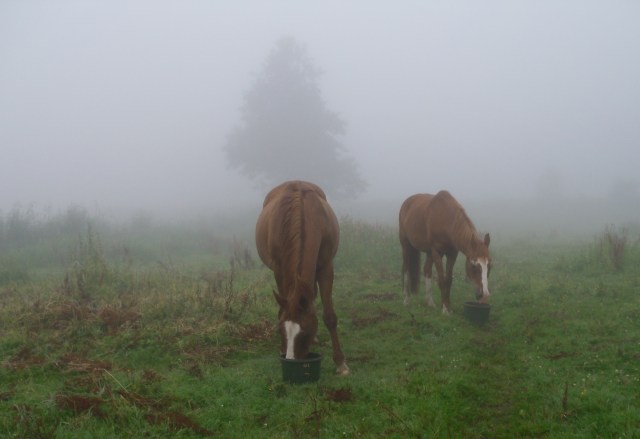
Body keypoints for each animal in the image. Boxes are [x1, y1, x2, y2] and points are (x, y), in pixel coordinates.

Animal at [255, 180, 349, 375]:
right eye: (281, 331)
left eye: (304, 332)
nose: (291, 359)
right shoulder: (279, 269)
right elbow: (282, 310)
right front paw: (282, 348)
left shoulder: (326, 267)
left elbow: (329, 316)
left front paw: (340, 362)